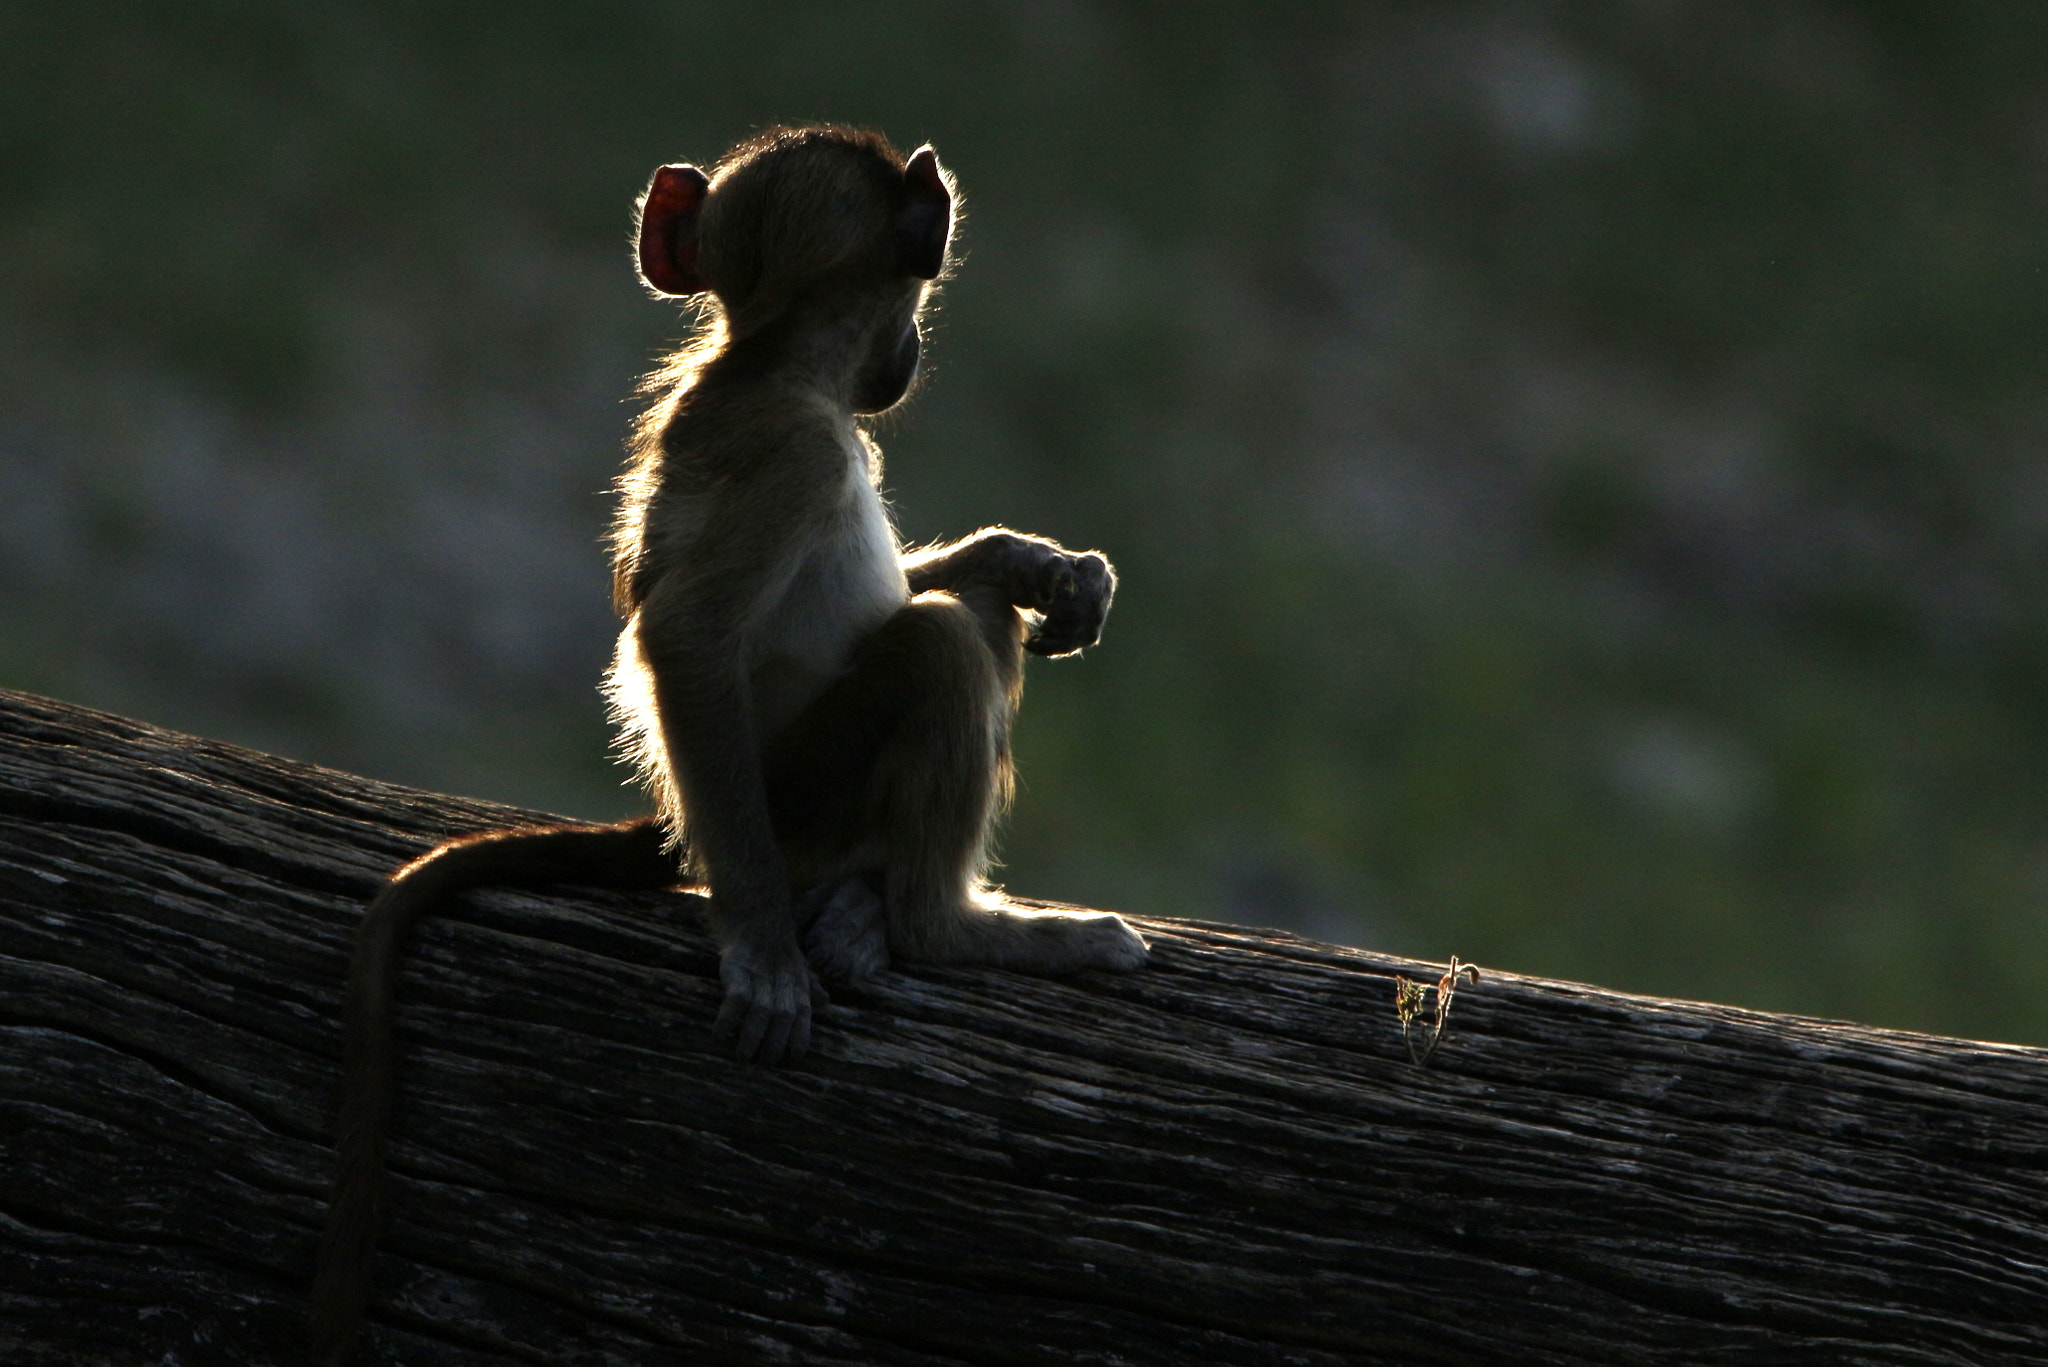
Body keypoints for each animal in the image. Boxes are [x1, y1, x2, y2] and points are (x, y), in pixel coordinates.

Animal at [310, 125, 1147, 1361]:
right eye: (914, 302)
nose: (905, 358)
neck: (766, 365)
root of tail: (679, 823)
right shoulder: (798, 456)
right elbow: (687, 637)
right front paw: (762, 949)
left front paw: (1036, 563)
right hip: (793, 798)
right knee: (945, 644)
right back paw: (936, 925)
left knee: (957, 624)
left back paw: (864, 907)